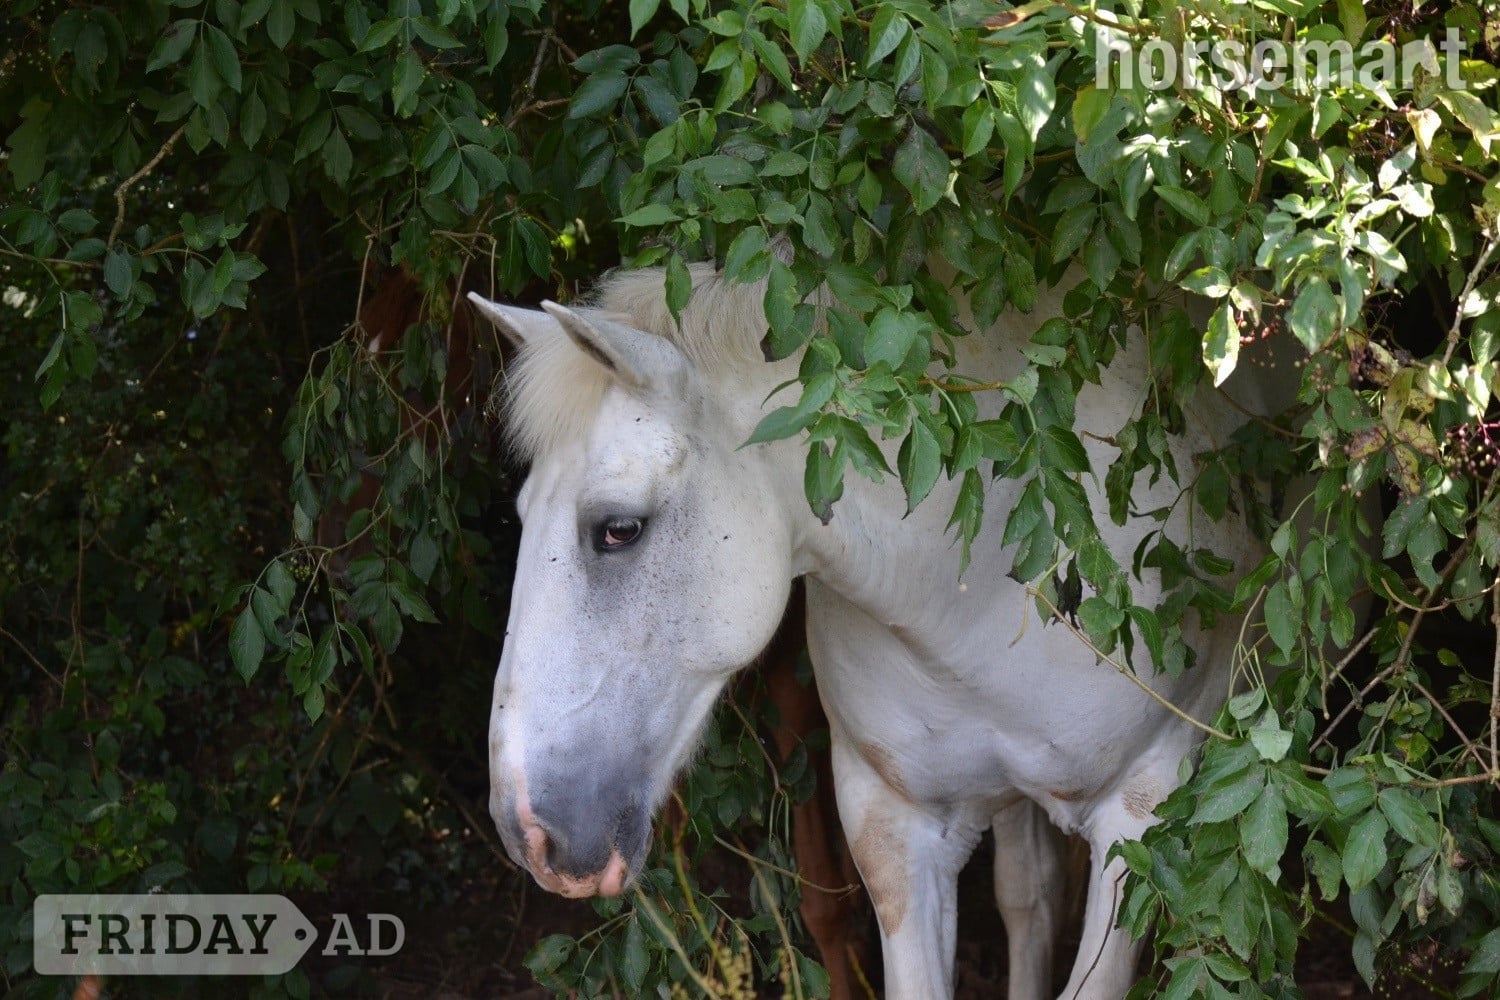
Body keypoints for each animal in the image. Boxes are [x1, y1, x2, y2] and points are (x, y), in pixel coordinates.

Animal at [468, 260, 1278, 999]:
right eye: (521, 513)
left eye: (619, 529)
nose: (525, 831)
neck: (982, 586)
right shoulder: (890, 822)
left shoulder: (1140, 816)